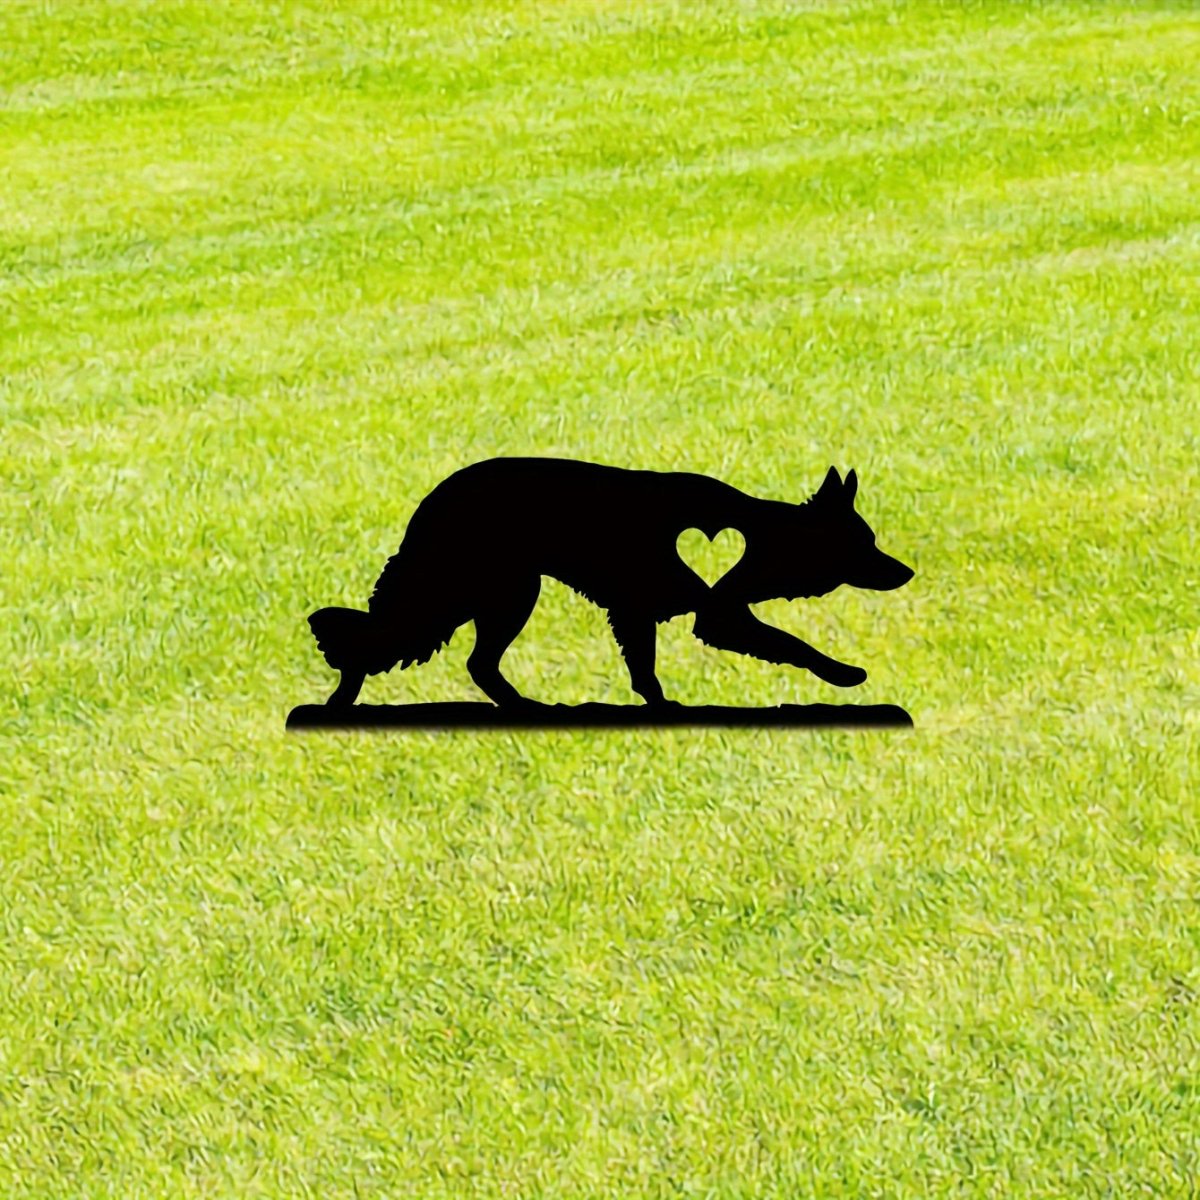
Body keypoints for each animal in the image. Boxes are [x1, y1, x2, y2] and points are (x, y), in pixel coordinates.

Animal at [307, 457, 913, 708]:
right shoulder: (712, 616)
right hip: (501, 592)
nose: (907, 572)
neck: (762, 535)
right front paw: (843, 673)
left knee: (469, 661)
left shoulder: (642, 614)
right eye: (865, 543)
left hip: (498, 593)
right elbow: (791, 643)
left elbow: (645, 671)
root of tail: (432, 500)